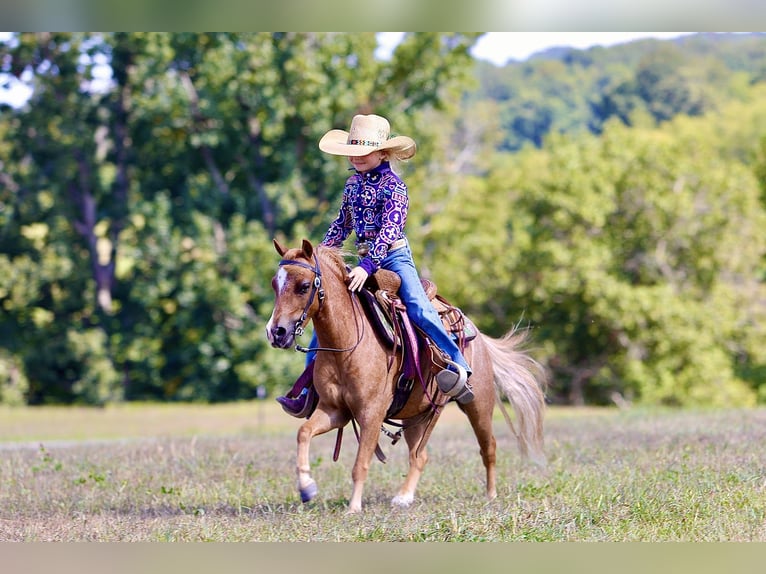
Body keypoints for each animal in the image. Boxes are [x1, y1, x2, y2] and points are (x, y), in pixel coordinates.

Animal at [266, 238, 547, 513]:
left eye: (303, 286)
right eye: (274, 284)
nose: (276, 332)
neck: (346, 344)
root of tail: (475, 332)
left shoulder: (371, 413)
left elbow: (360, 463)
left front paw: (353, 507)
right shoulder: (334, 410)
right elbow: (303, 433)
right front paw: (306, 487)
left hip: (479, 404)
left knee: (488, 447)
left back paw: (490, 495)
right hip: (417, 416)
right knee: (419, 456)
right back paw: (404, 497)